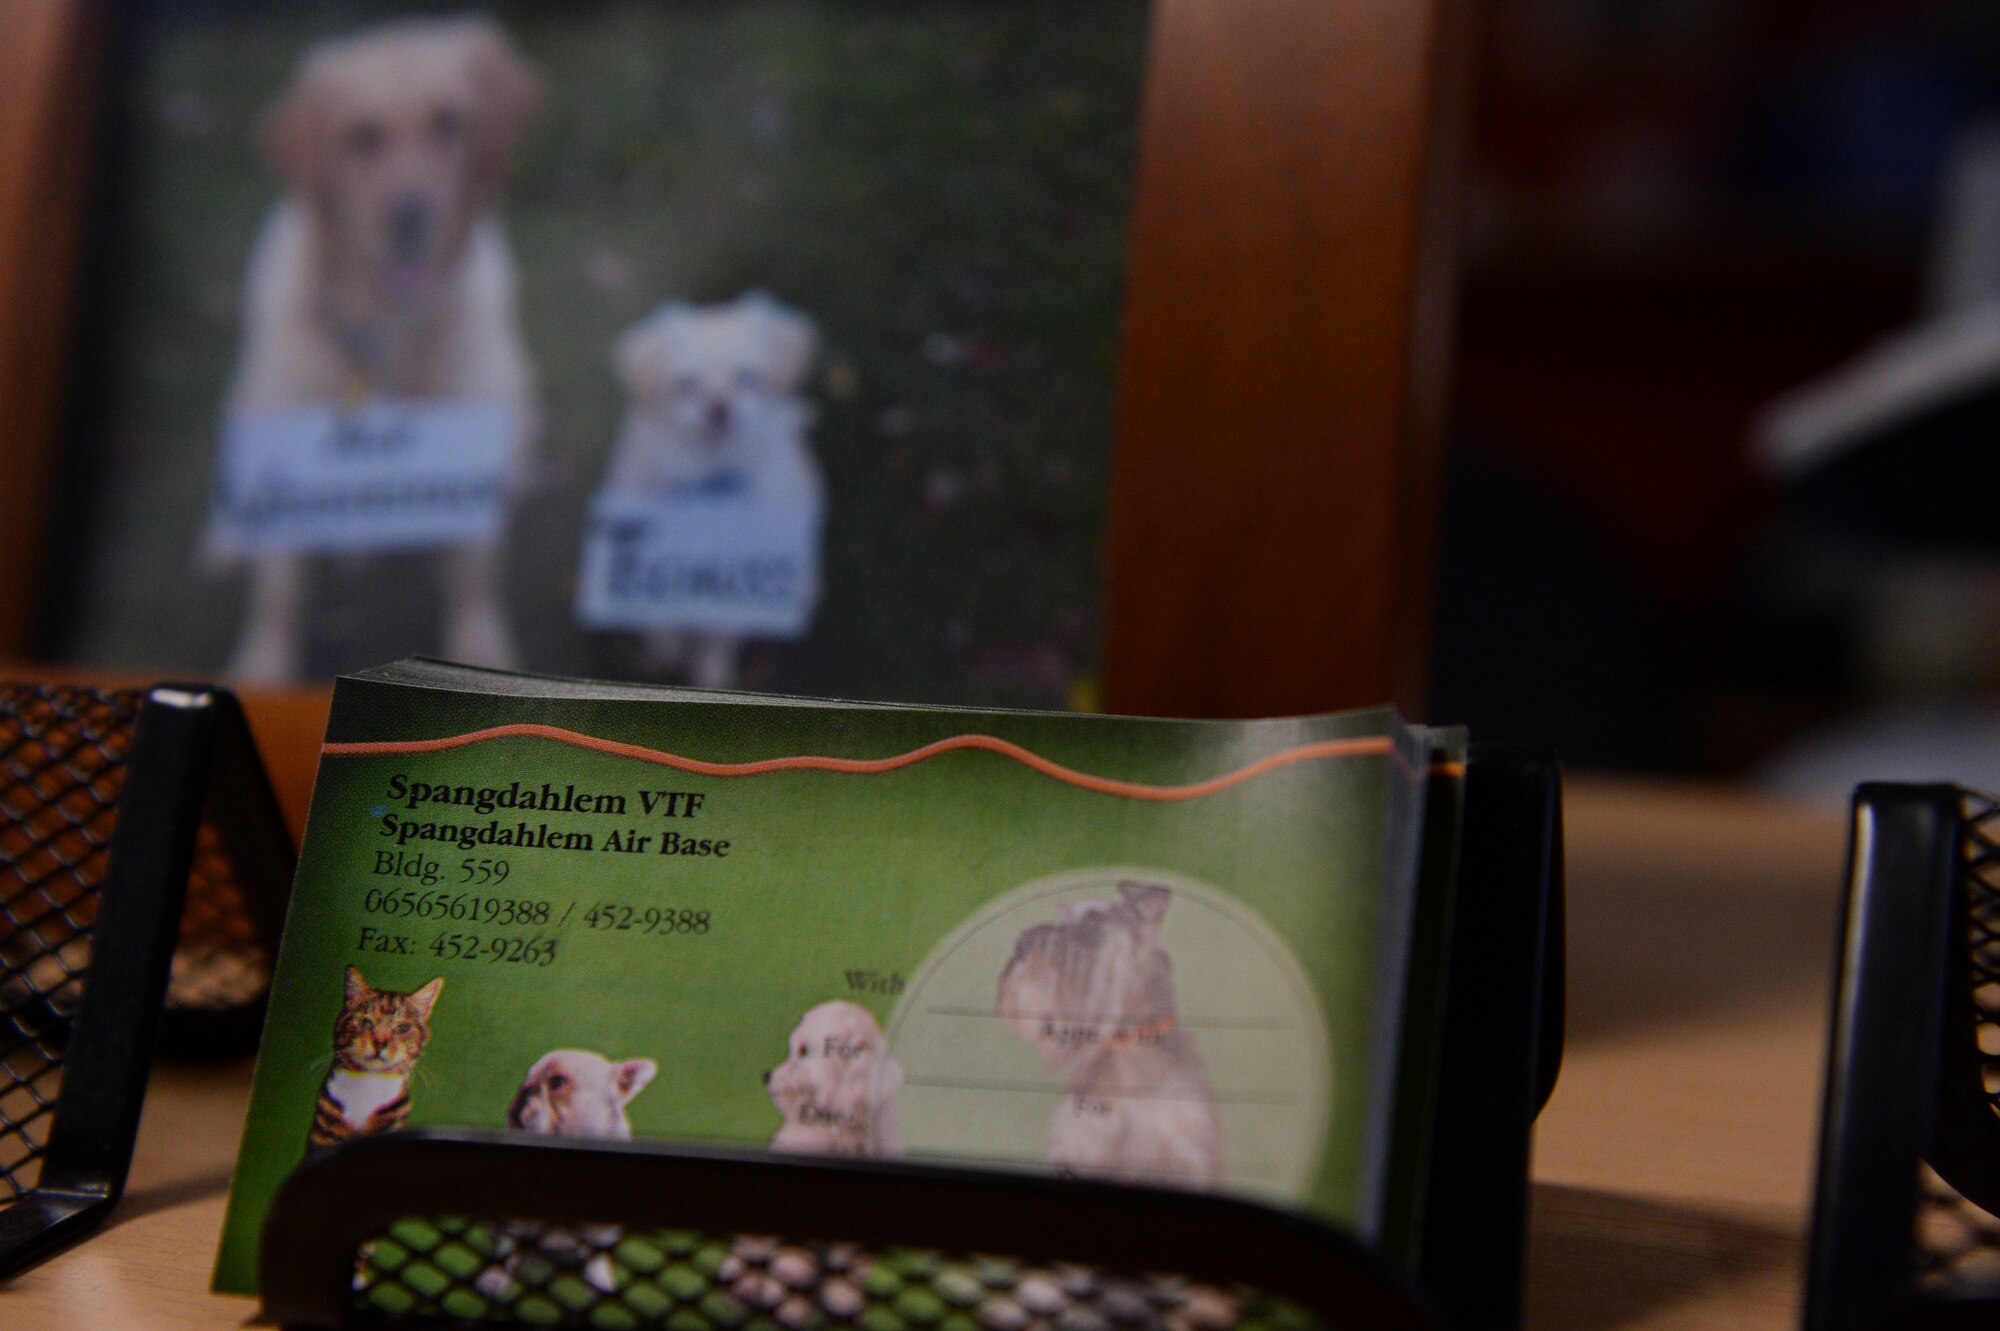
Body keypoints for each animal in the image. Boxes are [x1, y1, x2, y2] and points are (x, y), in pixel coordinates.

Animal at [220, 18, 540, 683]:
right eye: (360, 137)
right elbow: (280, 588)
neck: (385, 332)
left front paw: (479, 650)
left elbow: (471, 569)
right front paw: (263, 664)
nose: (408, 219)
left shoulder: (474, 431)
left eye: (449, 122)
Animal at [604, 289, 816, 683]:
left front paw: (711, 677)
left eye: (748, 378)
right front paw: (666, 650)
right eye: (686, 386)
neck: (709, 480)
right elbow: (659, 618)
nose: (718, 407)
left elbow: (716, 639)